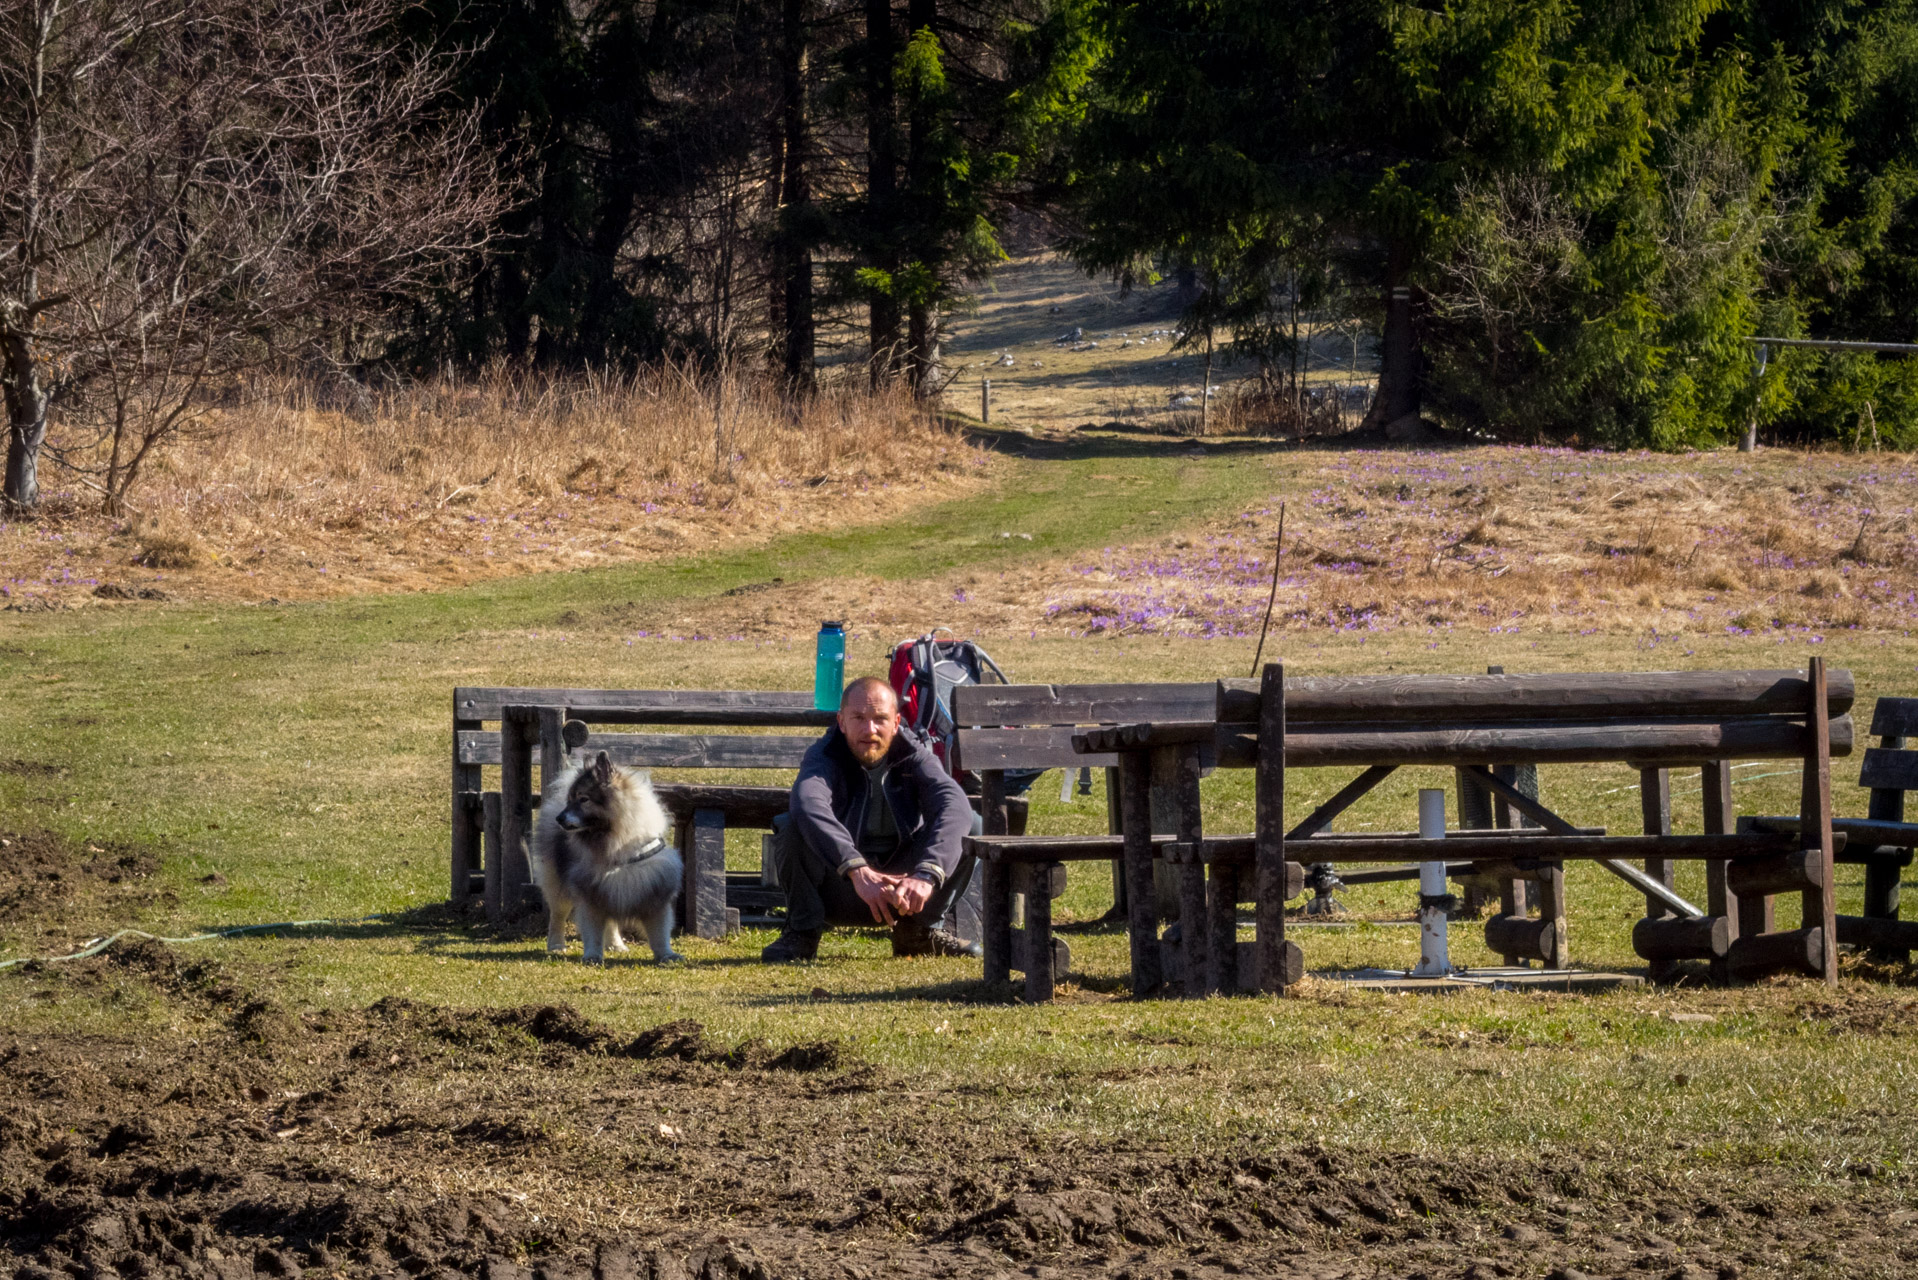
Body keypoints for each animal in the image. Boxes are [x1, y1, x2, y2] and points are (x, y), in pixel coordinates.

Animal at [533, 752, 682, 959]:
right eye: (570, 799)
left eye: (583, 799)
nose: (559, 818)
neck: (620, 845)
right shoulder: (589, 893)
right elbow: (593, 931)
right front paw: (592, 956)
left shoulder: (653, 891)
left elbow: (660, 933)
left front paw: (667, 955)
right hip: (558, 885)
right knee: (557, 915)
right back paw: (556, 945)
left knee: (610, 922)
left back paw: (615, 945)